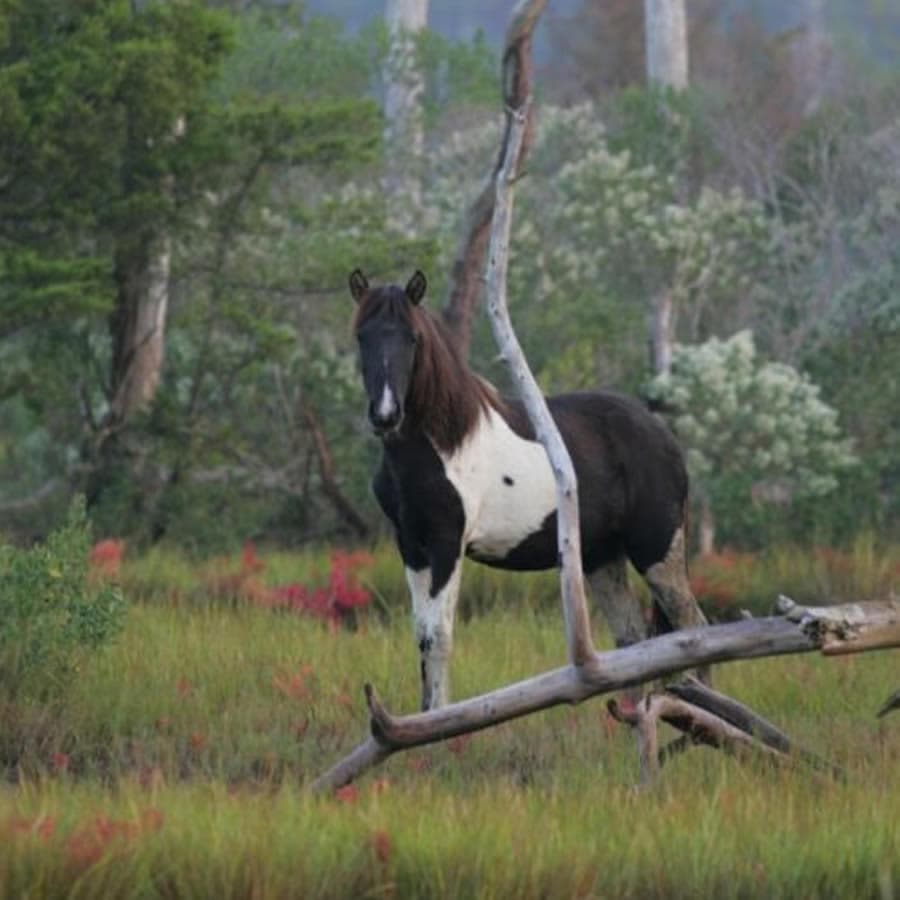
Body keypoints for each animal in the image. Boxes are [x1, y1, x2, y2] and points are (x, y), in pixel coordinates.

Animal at [349, 268, 707, 711]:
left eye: (412, 338)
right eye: (361, 336)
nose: (385, 414)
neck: (443, 443)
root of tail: (665, 436)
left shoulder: (447, 544)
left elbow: (440, 636)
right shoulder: (412, 546)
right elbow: (422, 637)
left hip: (657, 552)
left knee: (693, 630)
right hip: (602, 557)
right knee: (632, 640)